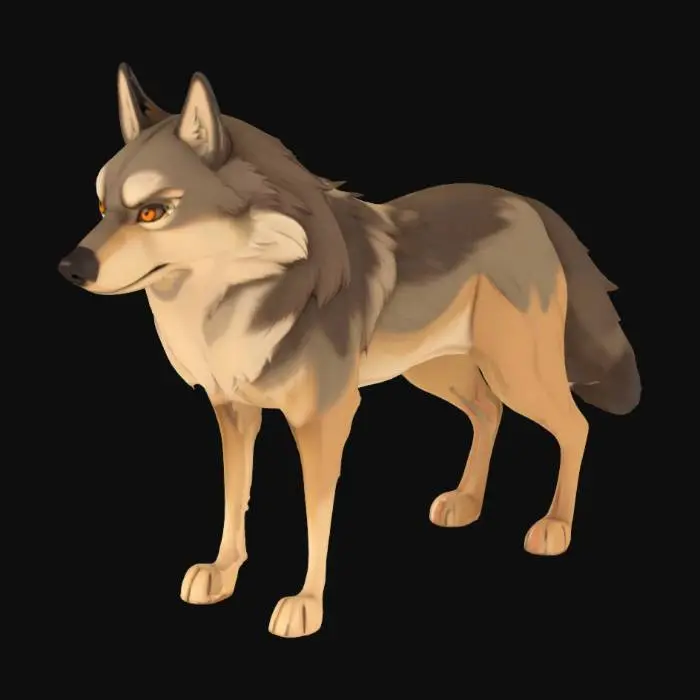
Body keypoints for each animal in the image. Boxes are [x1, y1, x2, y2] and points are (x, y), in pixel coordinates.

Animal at [58, 64, 641, 637]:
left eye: (153, 212)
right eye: (103, 209)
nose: (70, 267)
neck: (247, 288)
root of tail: (525, 204)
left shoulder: (324, 419)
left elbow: (316, 517)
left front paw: (306, 603)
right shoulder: (234, 413)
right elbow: (234, 496)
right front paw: (223, 573)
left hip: (517, 374)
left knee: (575, 427)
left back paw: (556, 525)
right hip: (439, 374)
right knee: (489, 413)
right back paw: (468, 500)